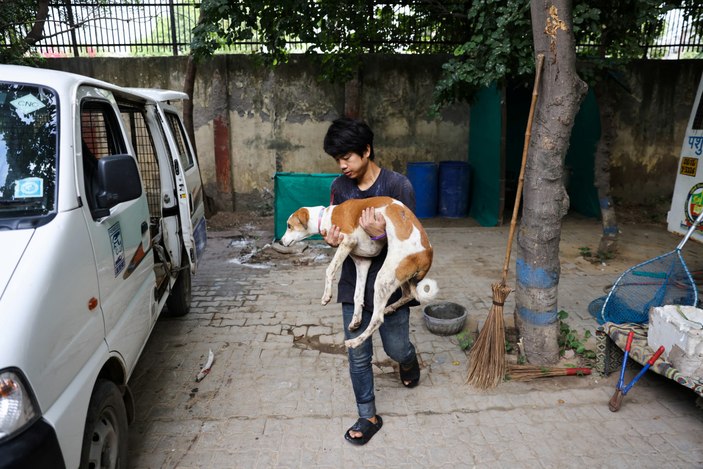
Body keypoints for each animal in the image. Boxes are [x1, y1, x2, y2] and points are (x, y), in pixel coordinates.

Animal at [280, 195, 434, 348]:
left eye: (289, 225)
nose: (280, 242)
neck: (326, 216)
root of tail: (427, 255)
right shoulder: (362, 262)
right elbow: (357, 295)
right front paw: (356, 320)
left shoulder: (348, 241)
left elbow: (329, 270)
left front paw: (326, 296)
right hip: (397, 275)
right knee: (407, 295)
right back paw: (389, 308)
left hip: (383, 278)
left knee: (377, 319)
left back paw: (355, 342)